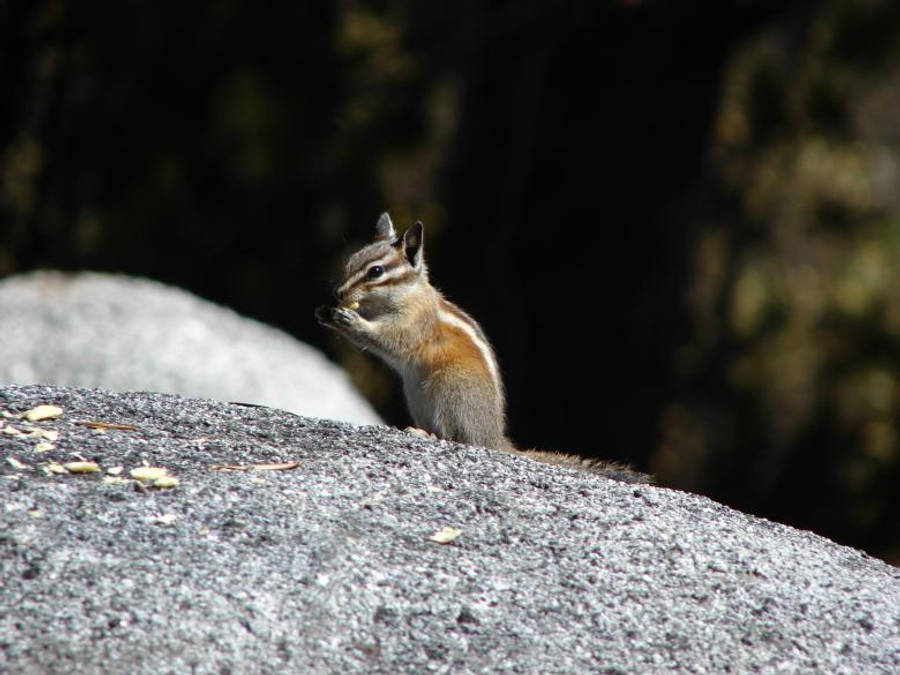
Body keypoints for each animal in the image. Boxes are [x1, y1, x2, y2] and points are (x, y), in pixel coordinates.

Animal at [316, 213, 649, 484]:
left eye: (375, 272)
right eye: (350, 261)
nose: (339, 292)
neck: (402, 295)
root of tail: (493, 438)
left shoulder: (415, 322)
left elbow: (390, 341)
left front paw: (350, 320)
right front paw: (325, 312)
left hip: (449, 388)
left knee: (457, 438)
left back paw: (425, 433)